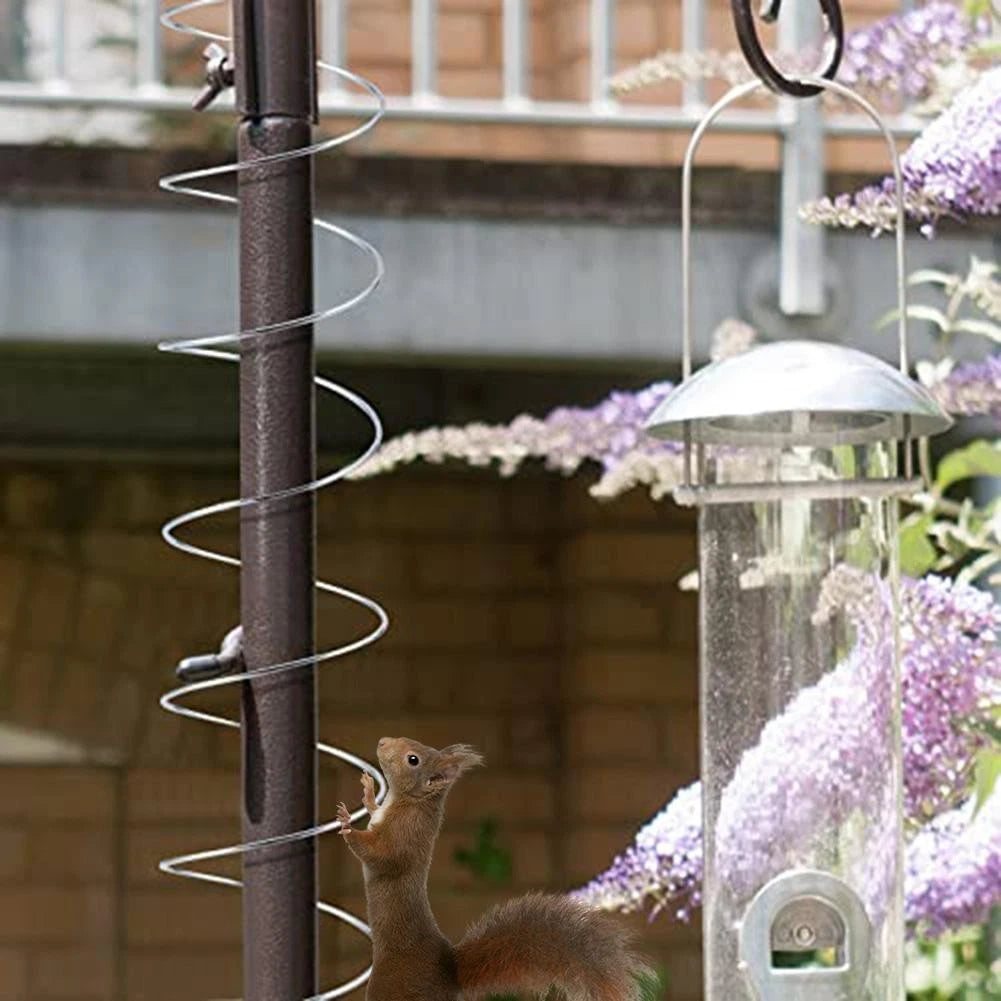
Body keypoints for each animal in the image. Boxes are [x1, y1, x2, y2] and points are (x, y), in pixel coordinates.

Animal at [336, 737, 651, 1001]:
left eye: (413, 759)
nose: (382, 742)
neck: (409, 801)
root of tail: (449, 972)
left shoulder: (403, 836)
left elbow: (380, 856)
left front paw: (347, 825)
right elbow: (373, 813)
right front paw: (367, 791)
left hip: (392, 985)